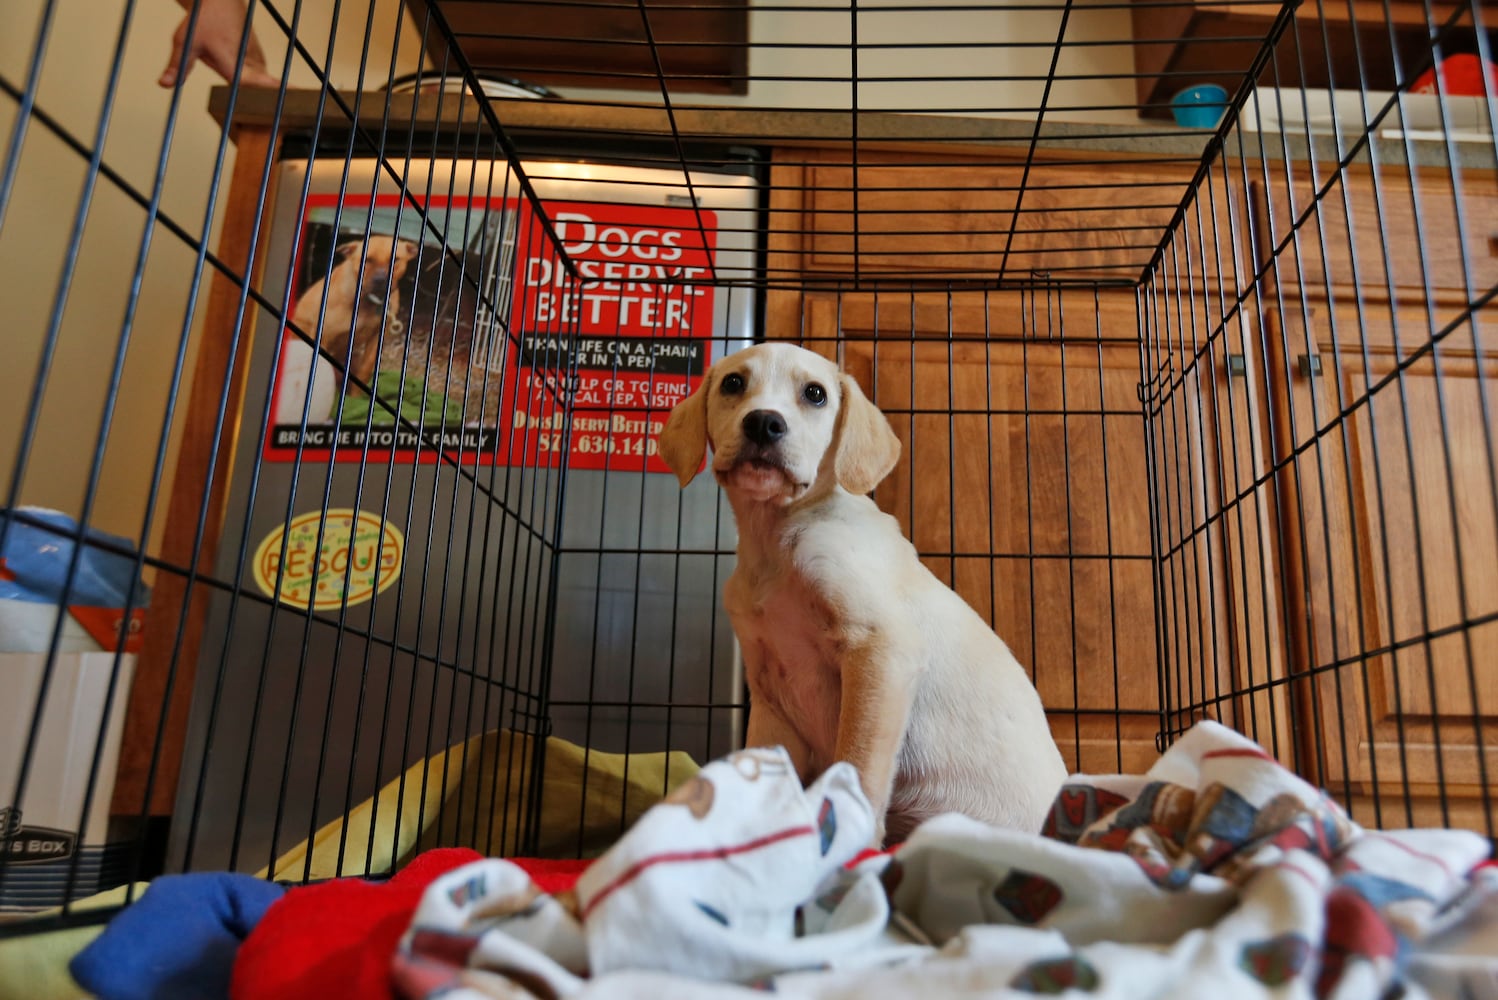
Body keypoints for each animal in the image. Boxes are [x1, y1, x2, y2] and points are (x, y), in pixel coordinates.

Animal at [290, 235, 416, 395]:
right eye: (367, 259)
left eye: (396, 259)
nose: (381, 280)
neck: (367, 301)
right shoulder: (325, 336)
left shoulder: (375, 341)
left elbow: (364, 371)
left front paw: (356, 398)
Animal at [656, 344, 1066, 844]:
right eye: (733, 383)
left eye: (815, 394)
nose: (764, 423)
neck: (777, 543)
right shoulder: (770, 692)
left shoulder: (881, 651)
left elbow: (859, 768)